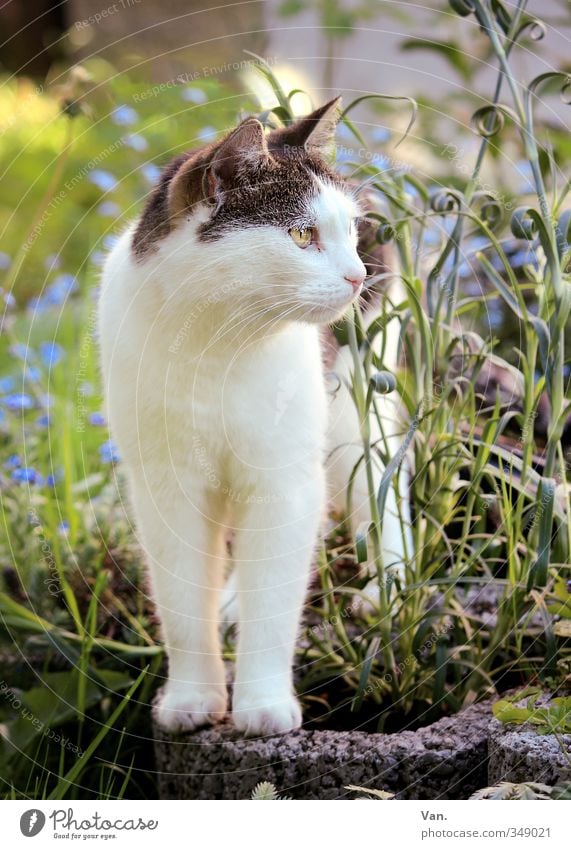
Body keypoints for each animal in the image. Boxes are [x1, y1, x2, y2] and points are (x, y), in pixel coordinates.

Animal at [98, 99, 412, 736]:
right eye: (301, 234)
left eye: (347, 229)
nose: (356, 276)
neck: (213, 347)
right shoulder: (165, 486)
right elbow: (182, 601)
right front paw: (193, 698)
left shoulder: (282, 478)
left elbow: (276, 599)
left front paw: (262, 705)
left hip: (353, 409)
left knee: (388, 476)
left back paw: (386, 586)